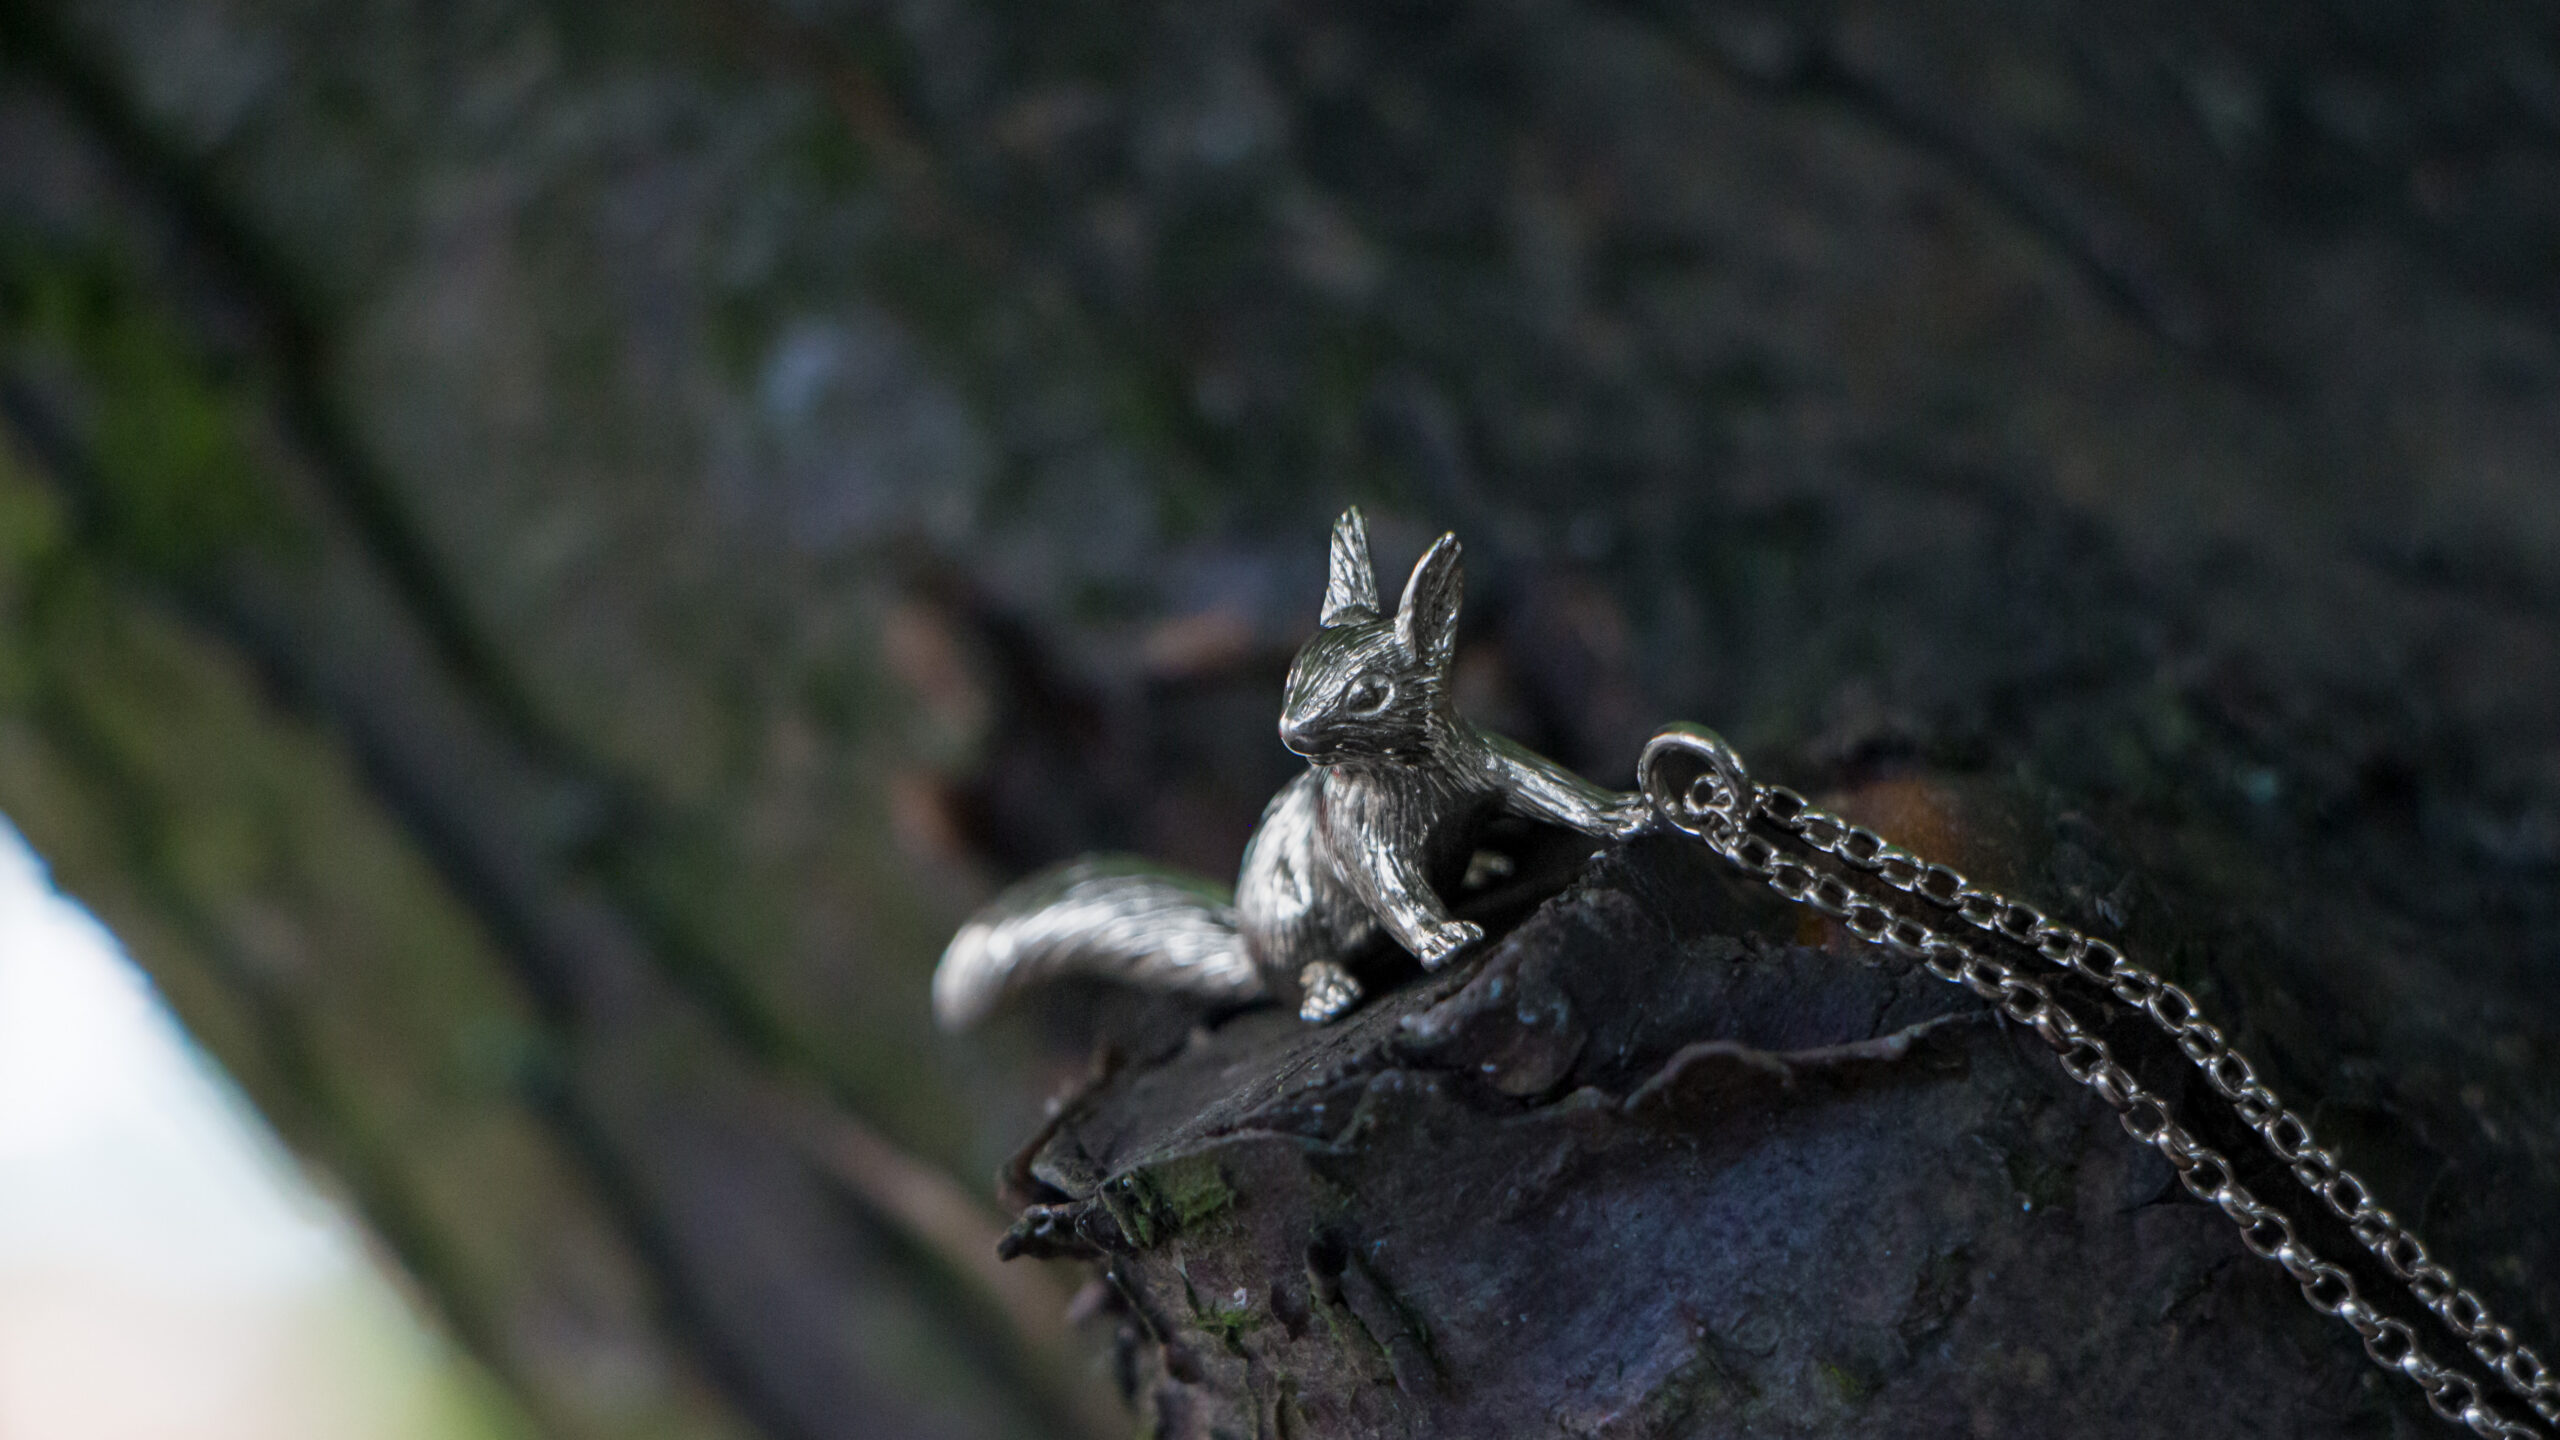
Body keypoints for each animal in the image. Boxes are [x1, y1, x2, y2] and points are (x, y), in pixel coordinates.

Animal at [933, 507, 1655, 1029]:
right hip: (1290, 922)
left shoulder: (1487, 763)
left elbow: (1554, 789)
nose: (1290, 731)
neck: (1411, 772)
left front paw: (1630, 813)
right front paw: (1442, 937)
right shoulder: (1357, 835)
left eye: (1368, 693)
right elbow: (1391, 888)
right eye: (1291, 673)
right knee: (1301, 974)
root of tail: (1249, 952)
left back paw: (1481, 867)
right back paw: (1328, 991)